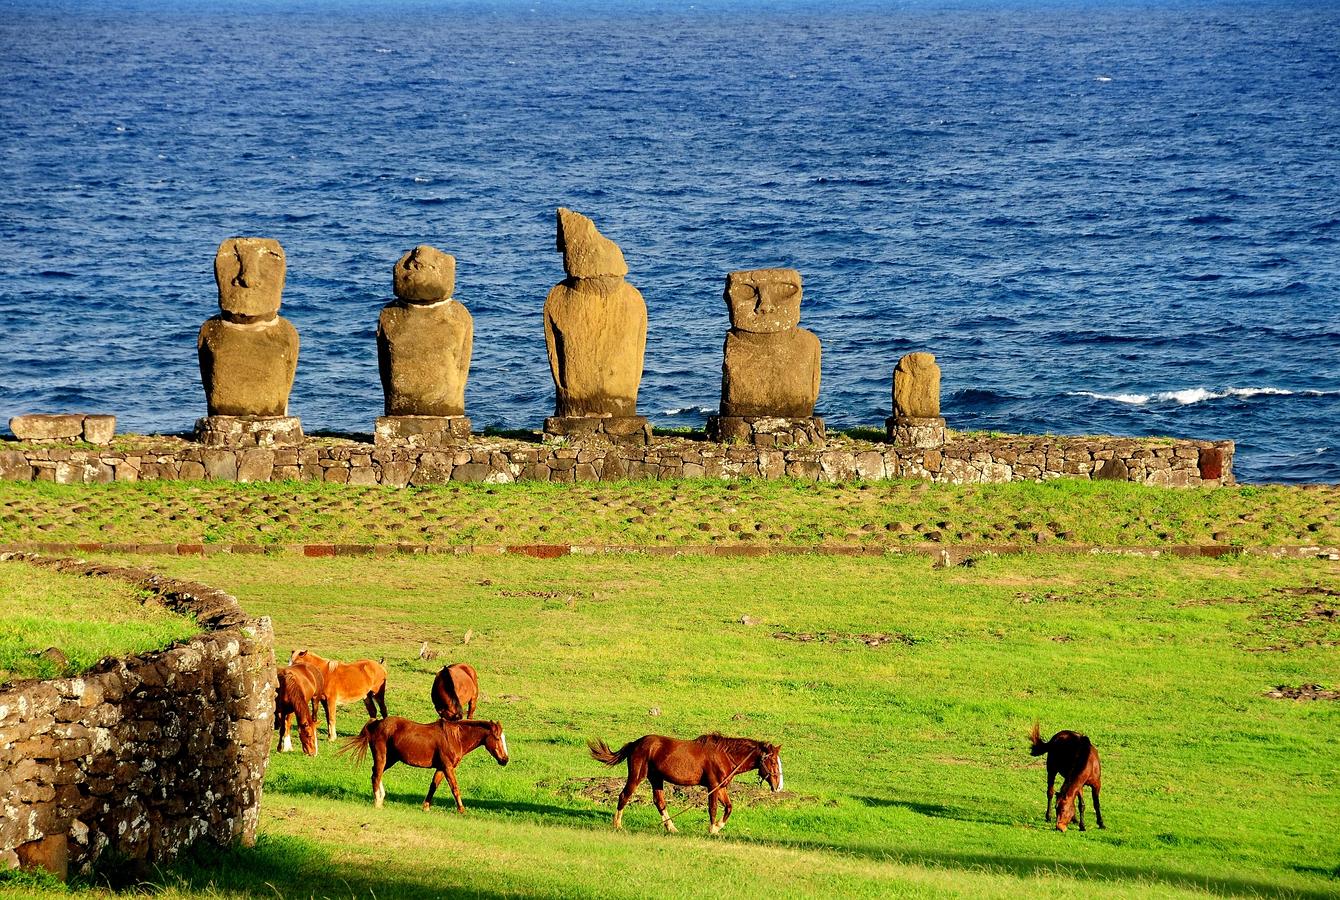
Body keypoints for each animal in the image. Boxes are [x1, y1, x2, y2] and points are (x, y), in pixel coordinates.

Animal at [343, 717, 509, 814]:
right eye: (497, 738)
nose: (505, 759)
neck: (455, 738)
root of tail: (375, 723)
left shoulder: (441, 768)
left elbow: (433, 786)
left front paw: (426, 807)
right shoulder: (448, 767)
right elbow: (455, 788)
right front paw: (462, 809)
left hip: (391, 759)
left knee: (375, 774)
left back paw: (381, 798)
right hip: (382, 757)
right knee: (376, 775)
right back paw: (377, 801)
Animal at [589, 728, 782, 835]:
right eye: (772, 761)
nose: (778, 786)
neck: (724, 755)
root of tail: (635, 743)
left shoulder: (721, 788)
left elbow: (728, 807)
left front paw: (718, 827)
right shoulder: (713, 786)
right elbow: (713, 809)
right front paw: (712, 829)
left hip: (656, 779)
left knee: (659, 802)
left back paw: (671, 828)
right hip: (637, 776)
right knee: (624, 796)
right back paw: (617, 825)